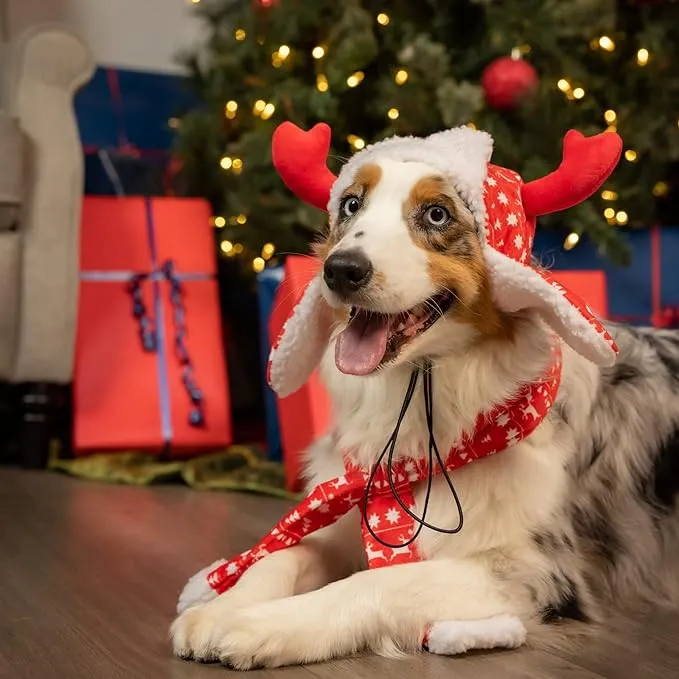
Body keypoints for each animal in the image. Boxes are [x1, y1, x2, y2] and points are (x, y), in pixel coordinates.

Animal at [171, 123, 679, 668]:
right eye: (351, 204)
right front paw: (220, 607)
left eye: (437, 214)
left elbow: (378, 582)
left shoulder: (532, 572)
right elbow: (281, 556)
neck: (421, 400)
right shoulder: (344, 518)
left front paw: (260, 625)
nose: (341, 269)